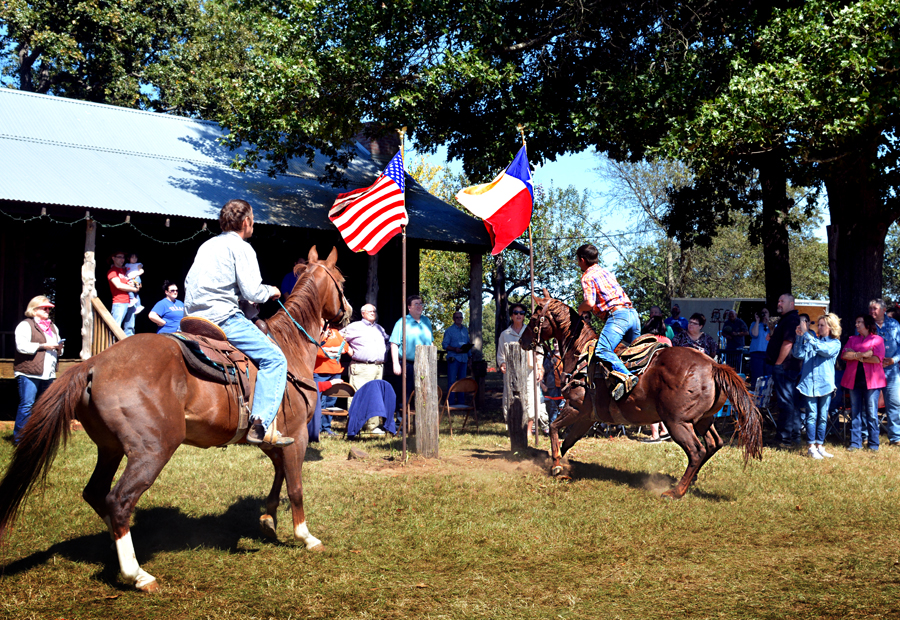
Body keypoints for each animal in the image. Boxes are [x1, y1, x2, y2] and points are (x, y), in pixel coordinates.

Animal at [0, 246, 348, 592]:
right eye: (342, 281)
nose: (347, 313)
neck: (289, 346)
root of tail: (93, 364)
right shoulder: (297, 434)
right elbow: (295, 485)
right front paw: (305, 536)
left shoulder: (273, 439)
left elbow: (279, 475)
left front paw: (268, 520)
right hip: (153, 450)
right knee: (119, 500)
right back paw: (137, 574)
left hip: (110, 448)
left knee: (96, 493)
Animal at [516, 296, 764, 498]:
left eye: (534, 317)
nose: (521, 341)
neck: (580, 354)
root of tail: (713, 365)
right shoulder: (588, 416)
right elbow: (568, 440)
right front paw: (557, 462)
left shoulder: (576, 408)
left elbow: (554, 428)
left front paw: (556, 465)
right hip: (703, 419)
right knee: (713, 444)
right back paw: (689, 482)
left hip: (677, 422)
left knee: (696, 451)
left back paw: (675, 491)